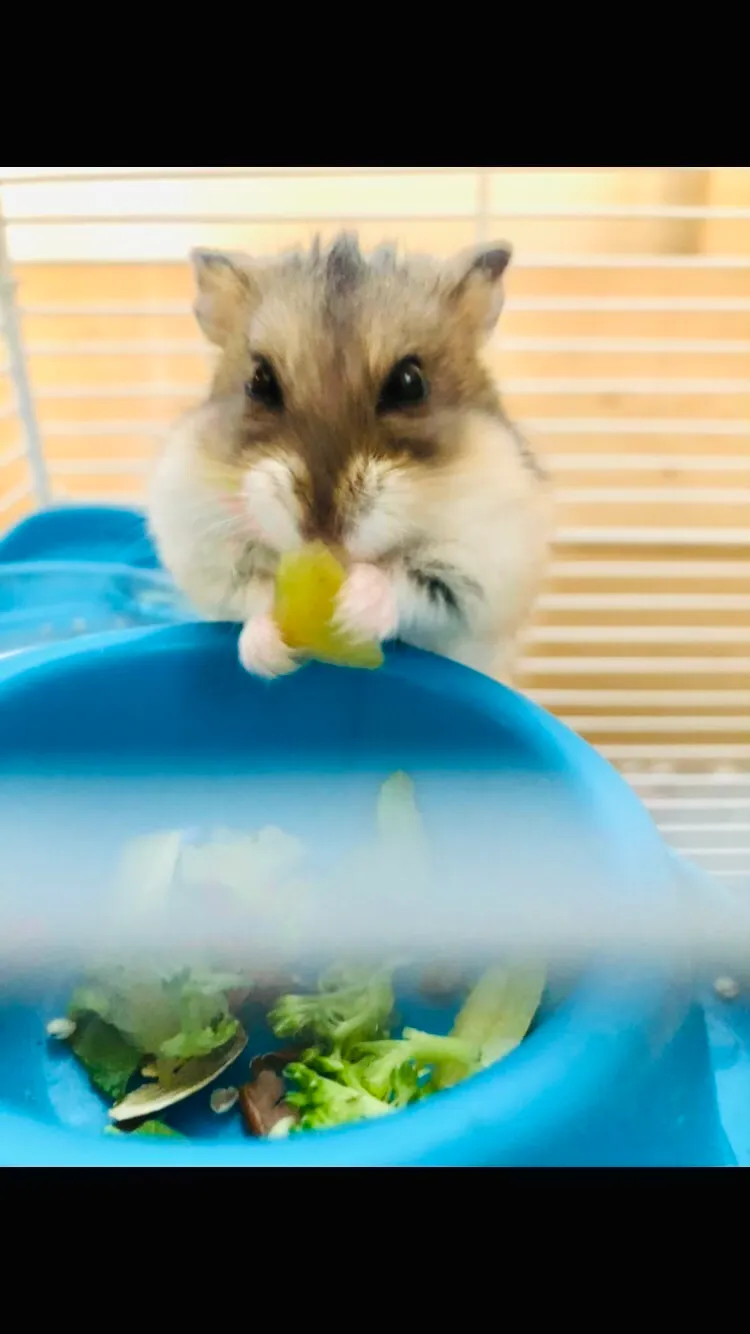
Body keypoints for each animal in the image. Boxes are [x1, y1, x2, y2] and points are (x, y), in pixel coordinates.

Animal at [148, 233, 551, 683]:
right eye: (259, 381)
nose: (324, 538)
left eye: (410, 383)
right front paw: (270, 653)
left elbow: (409, 582)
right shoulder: (204, 547)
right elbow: (254, 596)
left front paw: (349, 607)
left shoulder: (484, 561)